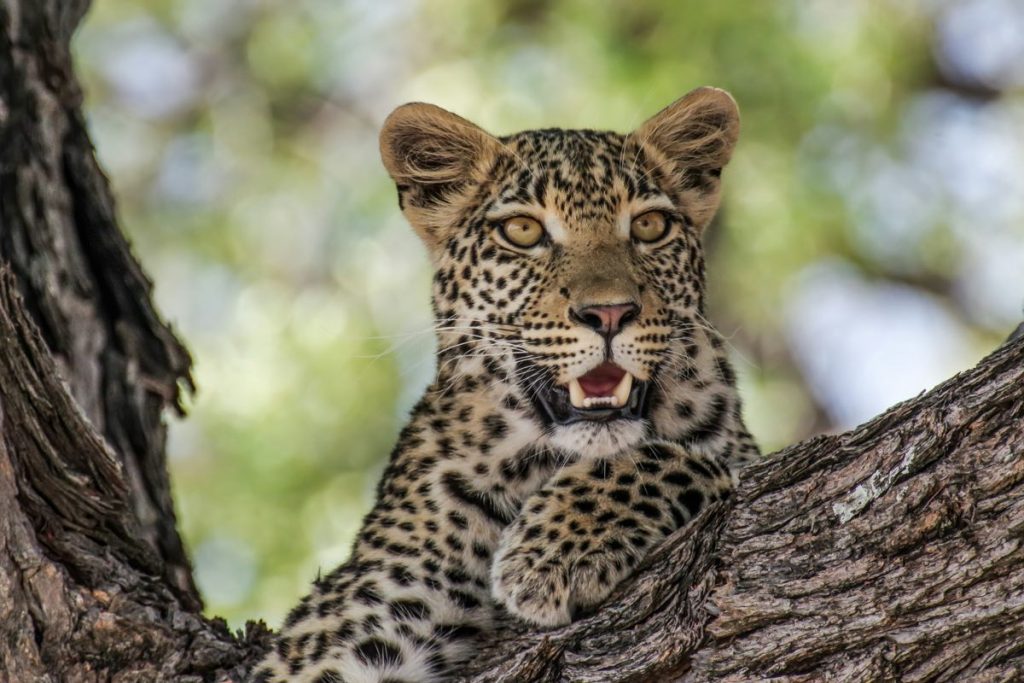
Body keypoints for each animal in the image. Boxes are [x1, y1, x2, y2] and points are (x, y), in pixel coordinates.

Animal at [247, 87, 761, 683]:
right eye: (523, 232)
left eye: (651, 226)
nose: (610, 313)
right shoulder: (368, 604)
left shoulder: (734, 450)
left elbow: (690, 458)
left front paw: (553, 551)